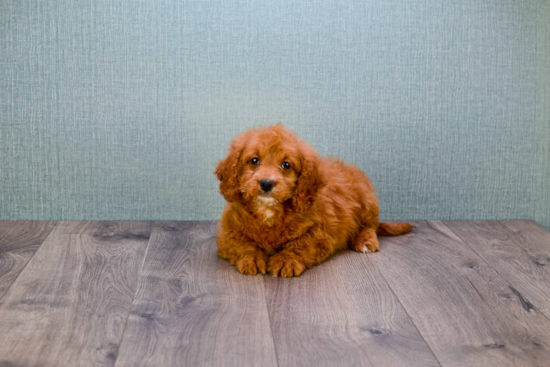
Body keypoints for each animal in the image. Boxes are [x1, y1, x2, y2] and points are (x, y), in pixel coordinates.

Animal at [216, 125, 414, 278]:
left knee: (370, 226)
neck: (269, 210)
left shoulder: (320, 232)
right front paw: (252, 257)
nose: (266, 183)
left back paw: (364, 241)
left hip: (366, 200)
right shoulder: (228, 231)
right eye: (254, 160)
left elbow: (300, 244)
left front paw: (285, 260)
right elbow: (241, 243)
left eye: (286, 165)